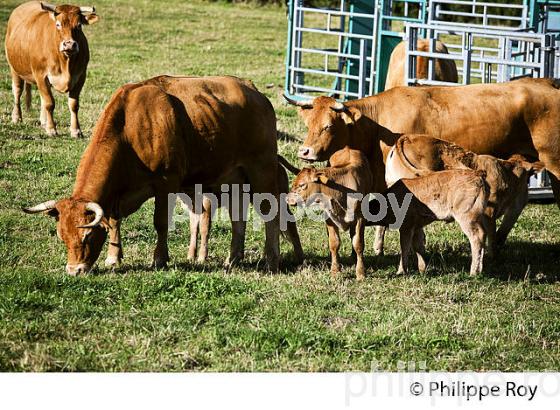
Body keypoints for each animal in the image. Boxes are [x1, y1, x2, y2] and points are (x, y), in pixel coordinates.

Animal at [4, 1, 99, 138]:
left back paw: (43, 121)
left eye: (79, 25)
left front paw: (76, 130)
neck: (65, 64)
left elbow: (73, 104)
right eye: (58, 24)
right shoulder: (41, 75)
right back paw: (17, 117)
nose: (69, 44)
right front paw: (51, 129)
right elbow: (50, 103)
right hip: (14, 68)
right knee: (17, 91)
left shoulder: (80, 76)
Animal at [24, 76, 282, 276]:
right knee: (238, 216)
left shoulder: (166, 184)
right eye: (61, 236)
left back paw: (271, 260)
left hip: (262, 169)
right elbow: (114, 222)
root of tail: (252, 90)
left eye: (87, 235)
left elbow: (160, 222)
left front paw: (159, 258)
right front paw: (113, 257)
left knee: (271, 212)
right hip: (232, 178)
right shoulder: (116, 196)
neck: (128, 127)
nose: (74, 270)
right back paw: (234, 258)